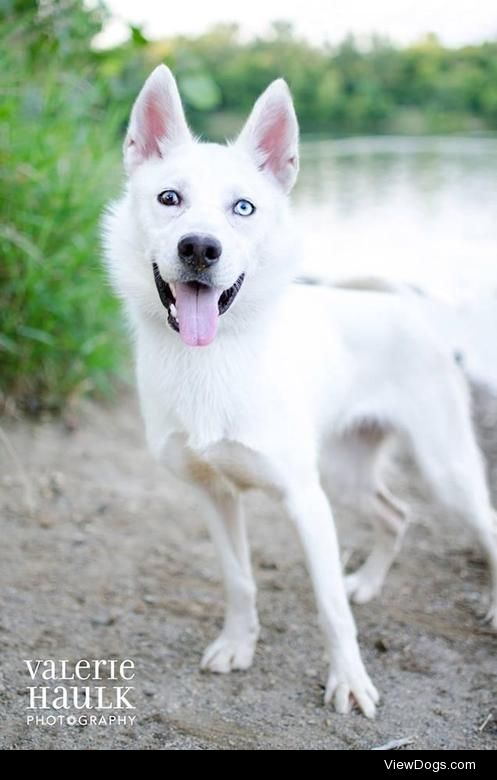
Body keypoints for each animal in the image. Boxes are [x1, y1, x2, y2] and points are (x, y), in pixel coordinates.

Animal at [103, 67, 496, 720]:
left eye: (243, 207)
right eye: (169, 199)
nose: (199, 248)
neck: (216, 357)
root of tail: (404, 308)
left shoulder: (305, 501)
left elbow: (329, 608)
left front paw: (350, 683)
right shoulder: (214, 495)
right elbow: (239, 580)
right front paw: (238, 644)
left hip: (442, 469)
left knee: (481, 519)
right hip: (345, 472)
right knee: (397, 514)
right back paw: (368, 581)